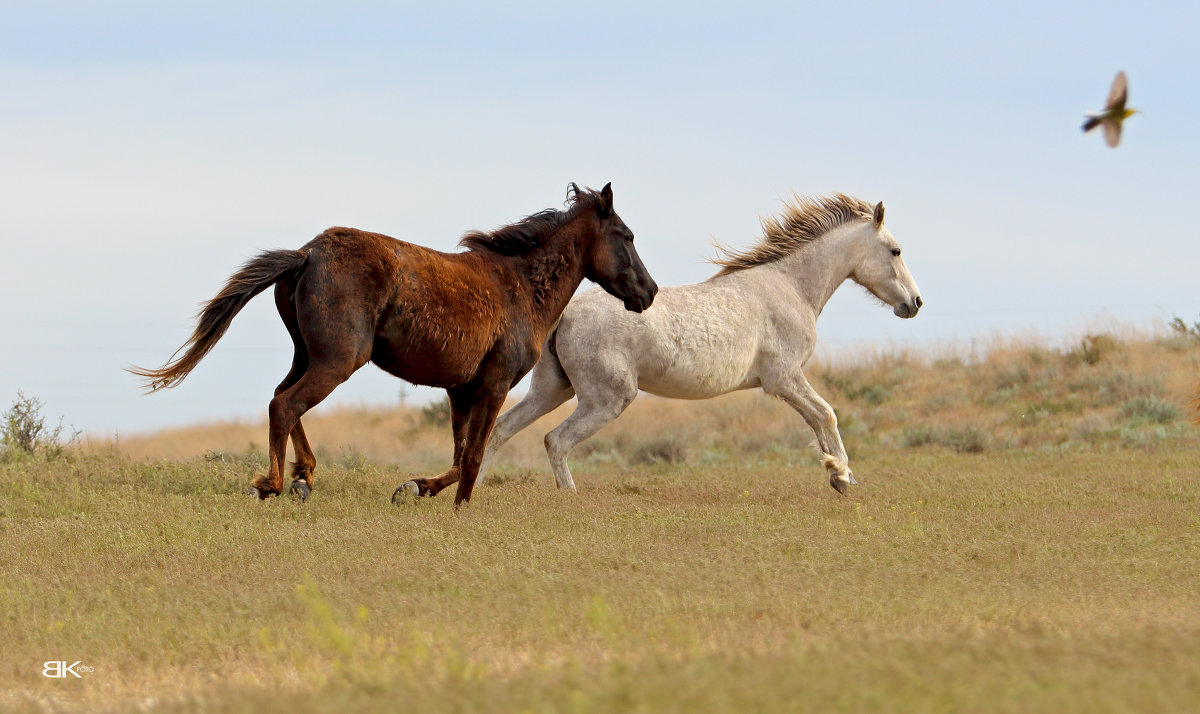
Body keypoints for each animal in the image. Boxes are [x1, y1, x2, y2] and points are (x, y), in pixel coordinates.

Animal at [133, 184, 657, 508]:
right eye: (627, 236)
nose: (648, 293)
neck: (521, 288)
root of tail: (306, 254)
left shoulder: (460, 391)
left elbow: (459, 457)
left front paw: (414, 488)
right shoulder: (493, 385)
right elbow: (473, 458)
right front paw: (453, 506)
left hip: (310, 355)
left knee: (281, 398)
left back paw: (304, 477)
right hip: (338, 361)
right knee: (284, 404)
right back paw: (274, 485)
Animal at [482, 193, 921, 494]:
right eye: (895, 250)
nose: (915, 303)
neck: (790, 286)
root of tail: (564, 315)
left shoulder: (787, 381)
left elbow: (820, 418)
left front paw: (838, 474)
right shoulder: (784, 379)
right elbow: (826, 414)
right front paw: (841, 475)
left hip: (552, 390)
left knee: (499, 430)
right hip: (605, 399)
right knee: (555, 440)